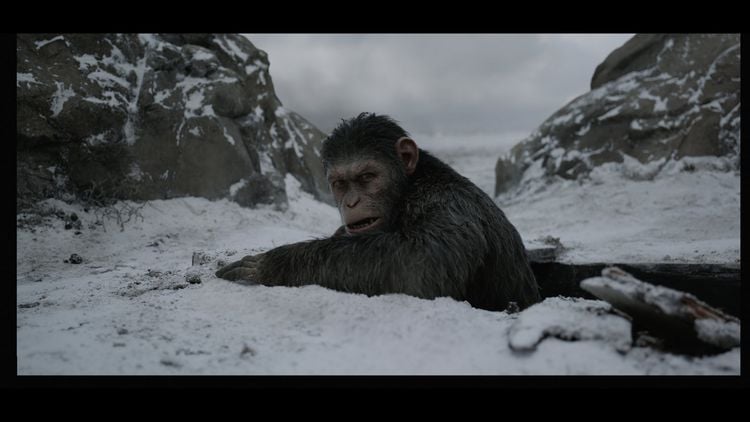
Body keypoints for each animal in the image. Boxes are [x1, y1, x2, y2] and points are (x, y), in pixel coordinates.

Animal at [216, 113, 541, 312]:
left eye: (367, 177)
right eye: (340, 183)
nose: (351, 201)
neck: (410, 187)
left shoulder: (450, 207)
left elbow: (419, 263)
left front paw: (273, 263)